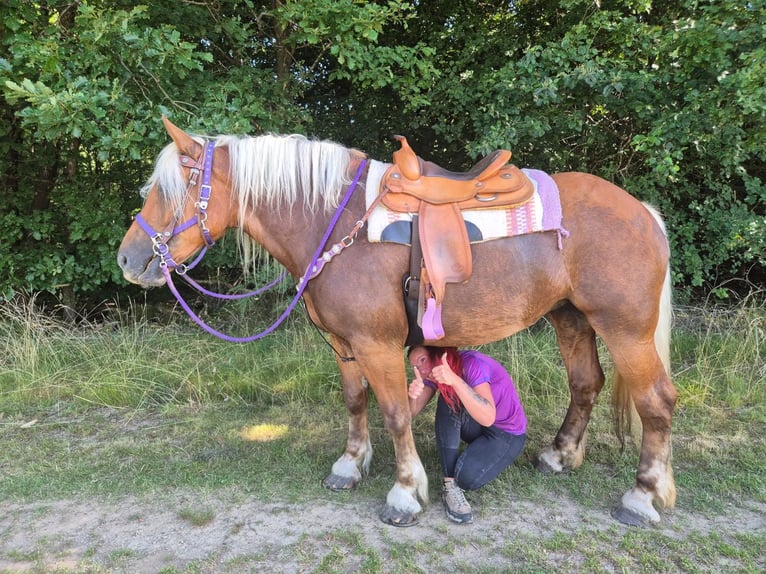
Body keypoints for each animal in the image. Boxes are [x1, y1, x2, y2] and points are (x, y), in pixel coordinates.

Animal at [117, 117, 677, 527]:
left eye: (171, 190)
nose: (128, 259)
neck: (332, 225)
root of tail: (642, 211)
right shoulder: (344, 344)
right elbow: (355, 400)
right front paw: (350, 464)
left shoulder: (377, 345)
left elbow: (394, 413)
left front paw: (405, 493)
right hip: (572, 319)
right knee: (586, 383)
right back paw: (560, 456)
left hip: (626, 330)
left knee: (656, 402)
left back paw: (642, 496)